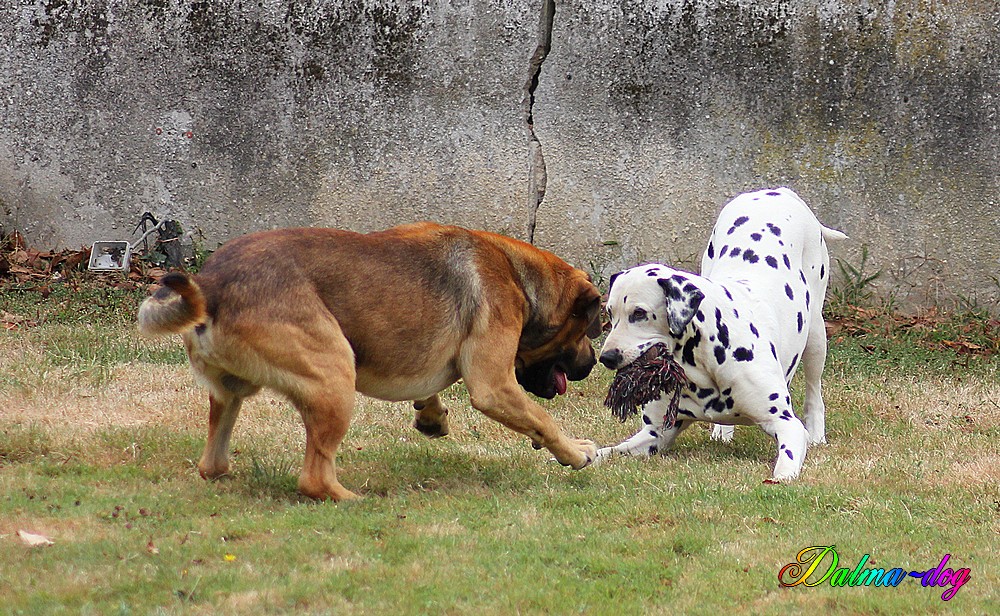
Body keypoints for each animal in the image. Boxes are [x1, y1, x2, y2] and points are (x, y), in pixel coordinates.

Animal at [137, 221, 596, 500]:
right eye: (586, 331)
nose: (594, 364)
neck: (518, 273)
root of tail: (210, 285)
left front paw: (431, 416)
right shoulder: (493, 386)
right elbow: (543, 419)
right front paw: (574, 452)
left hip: (231, 395)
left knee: (212, 465)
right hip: (335, 374)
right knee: (314, 478)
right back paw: (354, 499)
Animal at [596, 188, 848, 482]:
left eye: (639, 313)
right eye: (610, 313)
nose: (607, 357)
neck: (705, 359)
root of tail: (777, 191)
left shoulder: (786, 425)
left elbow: (785, 464)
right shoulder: (654, 435)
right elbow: (605, 451)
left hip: (816, 336)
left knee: (814, 391)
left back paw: (817, 433)